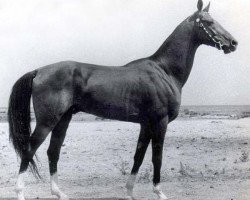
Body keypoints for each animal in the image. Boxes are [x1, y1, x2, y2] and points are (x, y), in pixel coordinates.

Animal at [7, 0, 237, 199]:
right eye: (208, 22)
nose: (233, 43)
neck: (164, 70)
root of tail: (38, 71)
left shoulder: (146, 124)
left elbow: (139, 156)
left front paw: (129, 192)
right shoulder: (159, 122)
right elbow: (157, 157)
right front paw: (159, 193)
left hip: (63, 119)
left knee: (52, 151)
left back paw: (59, 193)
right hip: (47, 122)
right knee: (29, 150)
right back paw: (20, 193)